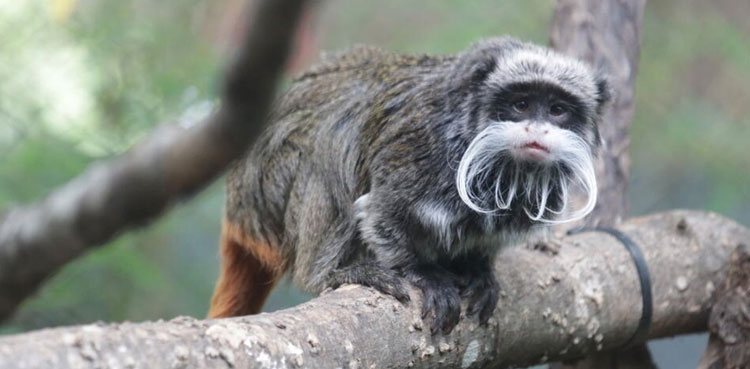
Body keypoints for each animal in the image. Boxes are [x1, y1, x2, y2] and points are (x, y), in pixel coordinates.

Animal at [207, 36, 612, 334]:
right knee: (331, 143)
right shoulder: (418, 151)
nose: (538, 130)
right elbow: (380, 214)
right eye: (521, 104)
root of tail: (236, 206)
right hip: (267, 192)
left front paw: (478, 269)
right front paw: (424, 275)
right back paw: (329, 272)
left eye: (558, 110)